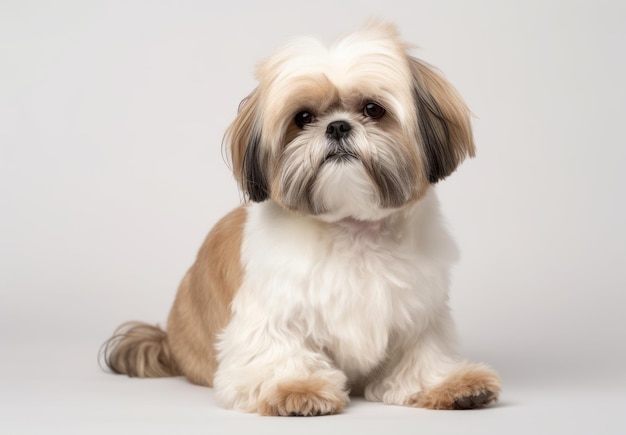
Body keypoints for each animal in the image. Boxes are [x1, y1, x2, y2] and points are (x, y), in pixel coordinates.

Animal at [103, 19, 502, 416]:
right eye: (304, 117)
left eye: (373, 109)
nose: (338, 126)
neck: (351, 228)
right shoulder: (272, 313)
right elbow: (278, 351)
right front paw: (296, 388)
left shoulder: (419, 314)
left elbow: (421, 354)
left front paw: (449, 384)